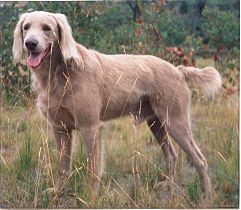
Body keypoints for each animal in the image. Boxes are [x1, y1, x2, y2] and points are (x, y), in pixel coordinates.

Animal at [12, 11, 220, 200]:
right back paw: (168, 186)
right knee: (172, 155)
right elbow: (63, 167)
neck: (59, 73)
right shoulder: (60, 129)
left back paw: (207, 195)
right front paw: (58, 191)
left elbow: (93, 168)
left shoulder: (90, 127)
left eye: (47, 28)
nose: (30, 43)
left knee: (200, 160)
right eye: (26, 27)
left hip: (176, 123)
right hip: (156, 124)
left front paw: (91, 196)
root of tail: (178, 70)